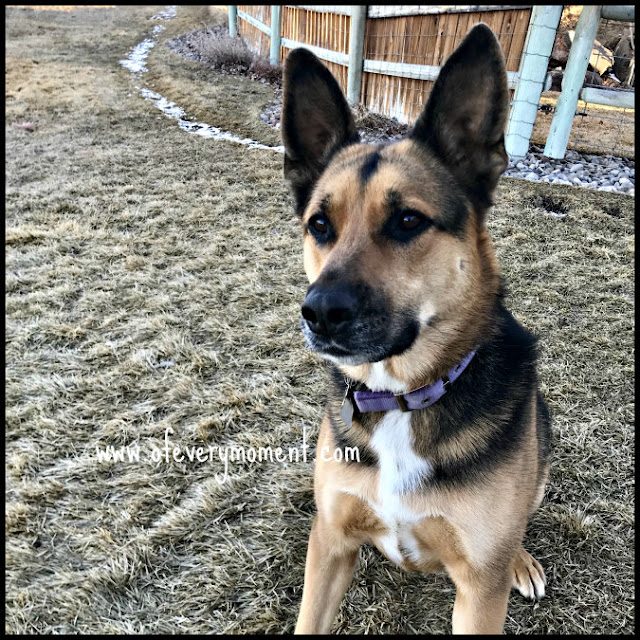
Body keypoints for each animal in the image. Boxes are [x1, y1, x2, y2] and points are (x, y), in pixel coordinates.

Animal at [282, 25, 552, 636]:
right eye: (319, 225)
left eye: (408, 220)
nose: (320, 313)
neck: (401, 399)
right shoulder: (329, 544)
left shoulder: (479, 590)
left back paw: (521, 560)